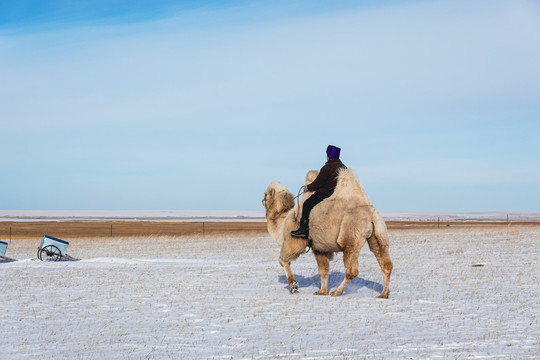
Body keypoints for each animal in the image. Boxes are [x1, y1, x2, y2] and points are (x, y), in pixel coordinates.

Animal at [262, 169, 392, 298]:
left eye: (266, 194)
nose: (262, 199)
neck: (284, 219)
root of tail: (371, 215)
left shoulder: (293, 241)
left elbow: (283, 260)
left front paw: (293, 286)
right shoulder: (320, 248)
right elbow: (323, 271)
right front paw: (322, 291)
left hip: (350, 236)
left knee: (352, 270)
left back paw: (337, 292)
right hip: (378, 236)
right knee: (386, 264)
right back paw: (383, 294)